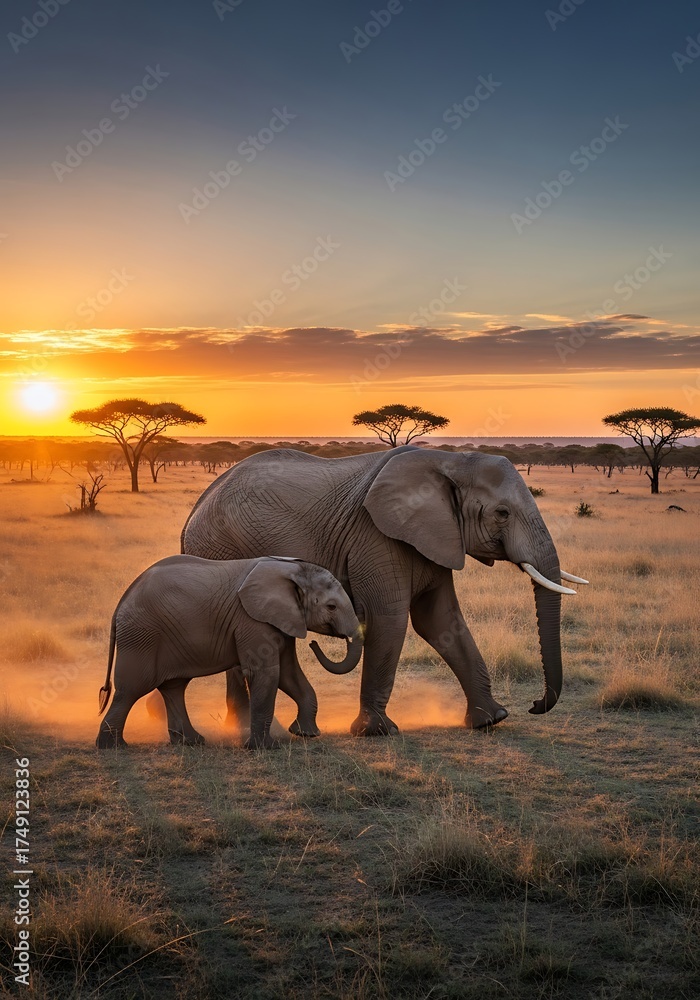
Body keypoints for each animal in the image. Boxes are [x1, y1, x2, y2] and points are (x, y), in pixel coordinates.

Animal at [96, 555, 363, 750]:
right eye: (331, 607)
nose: (314, 643)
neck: (294, 569)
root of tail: (121, 602)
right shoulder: (253, 620)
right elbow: (265, 673)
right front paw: (265, 748)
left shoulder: (281, 619)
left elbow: (289, 674)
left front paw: (306, 734)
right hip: (142, 636)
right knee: (131, 688)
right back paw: (113, 747)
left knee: (174, 687)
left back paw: (191, 742)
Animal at [175, 446, 587, 736]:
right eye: (502, 513)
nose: (534, 704)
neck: (450, 460)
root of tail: (194, 511)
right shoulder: (376, 536)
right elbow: (390, 618)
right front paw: (377, 732)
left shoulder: (435, 536)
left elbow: (440, 621)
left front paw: (491, 720)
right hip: (220, 550)